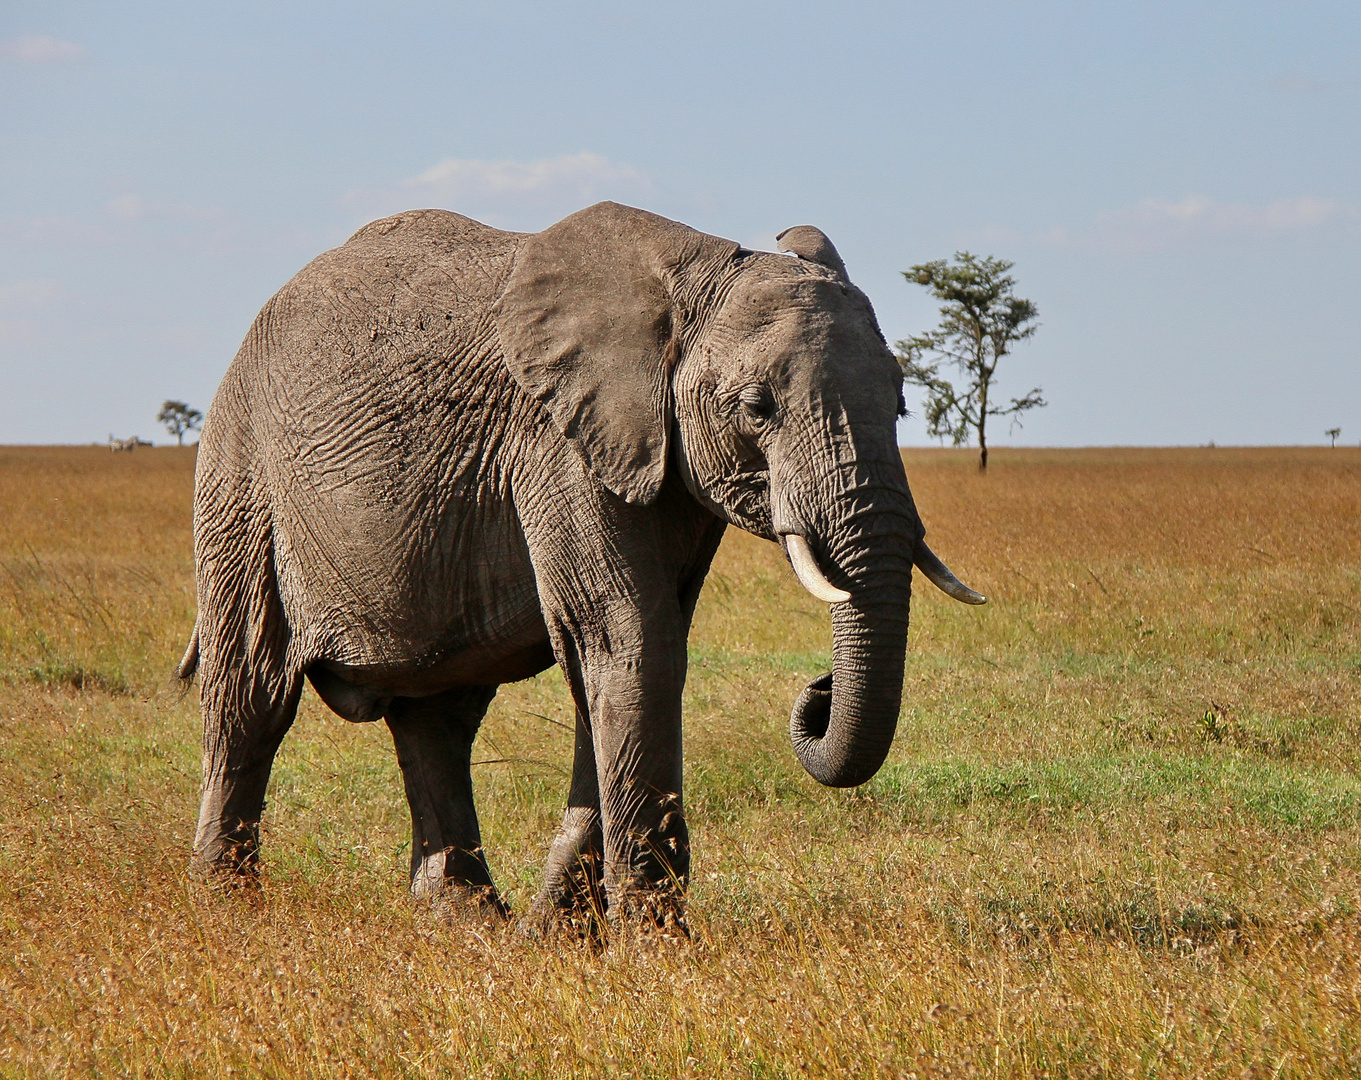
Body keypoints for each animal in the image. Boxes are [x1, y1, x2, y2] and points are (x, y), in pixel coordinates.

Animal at [178, 201, 990, 935]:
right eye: (757, 407)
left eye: (901, 403)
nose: (817, 690)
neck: (690, 282)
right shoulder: (558, 442)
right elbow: (629, 642)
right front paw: (655, 952)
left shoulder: (658, 459)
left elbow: (629, 655)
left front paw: (560, 936)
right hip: (240, 478)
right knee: (251, 697)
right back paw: (229, 913)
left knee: (437, 716)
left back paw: (467, 924)